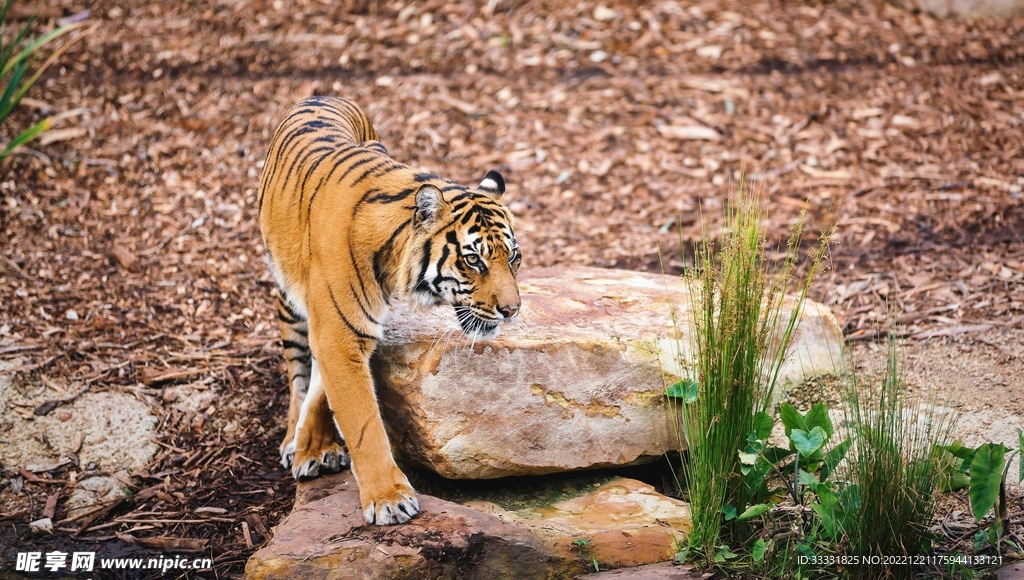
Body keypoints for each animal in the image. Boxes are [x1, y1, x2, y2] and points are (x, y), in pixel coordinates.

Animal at [257, 96, 522, 525]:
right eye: (473, 260)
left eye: (513, 257)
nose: (513, 310)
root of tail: (322, 95)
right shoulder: (337, 334)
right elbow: (364, 423)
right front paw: (389, 499)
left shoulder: (343, 330)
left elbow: (324, 389)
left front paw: (314, 446)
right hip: (287, 295)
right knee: (297, 371)